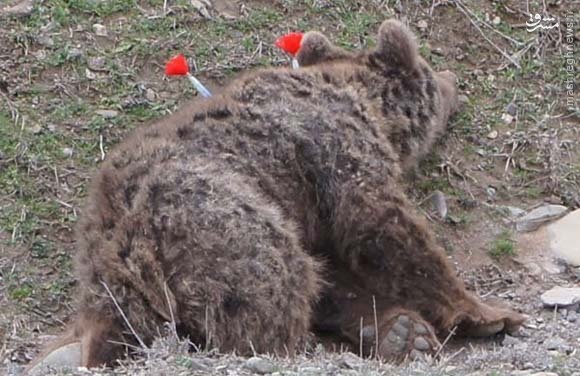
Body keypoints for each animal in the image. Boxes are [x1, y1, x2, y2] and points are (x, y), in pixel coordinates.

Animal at [27, 18, 524, 374]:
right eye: (433, 73)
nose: (455, 78)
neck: (362, 101)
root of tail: (118, 252)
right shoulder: (337, 153)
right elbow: (383, 227)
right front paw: (488, 312)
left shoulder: (308, 205)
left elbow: (333, 269)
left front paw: (394, 324)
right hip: (218, 223)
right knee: (276, 283)